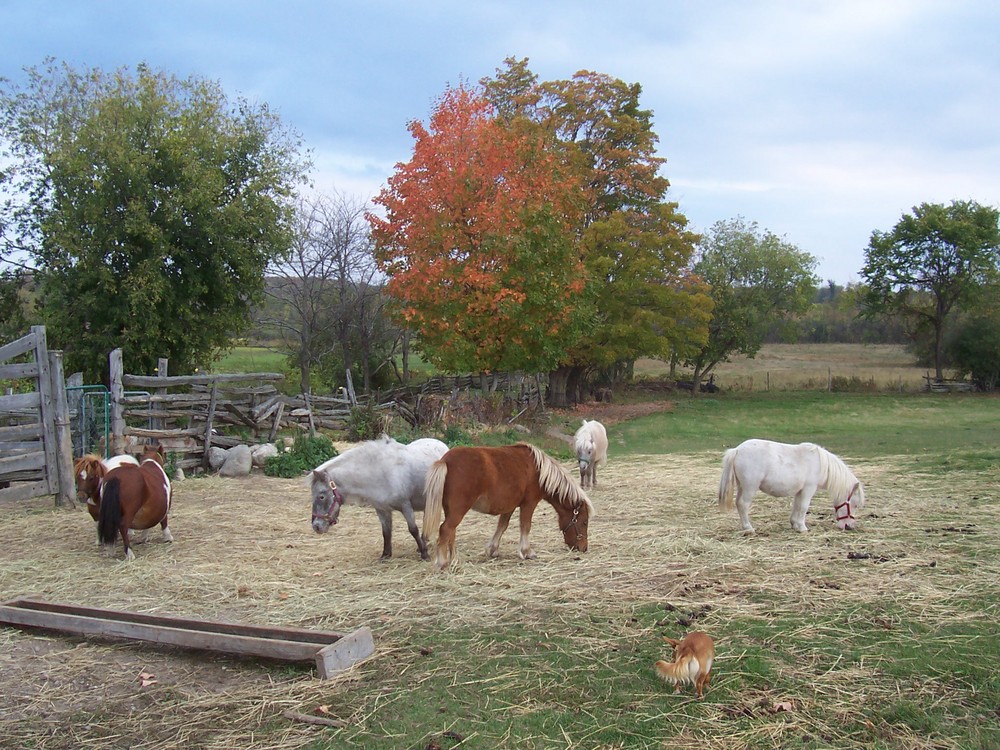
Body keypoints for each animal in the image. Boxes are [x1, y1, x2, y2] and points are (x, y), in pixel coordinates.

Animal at [418, 446, 588, 568]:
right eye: (584, 522)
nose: (583, 548)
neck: (539, 471)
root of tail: (445, 462)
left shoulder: (510, 506)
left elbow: (502, 526)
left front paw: (492, 550)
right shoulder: (529, 503)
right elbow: (525, 526)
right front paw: (526, 552)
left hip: (451, 510)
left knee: (450, 532)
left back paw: (454, 559)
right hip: (458, 511)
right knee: (445, 529)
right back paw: (442, 562)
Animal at [720, 438, 868, 536]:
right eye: (855, 505)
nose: (848, 526)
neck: (821, 464)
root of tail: (737, 450)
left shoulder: (800, 491)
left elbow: (796, 506)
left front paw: (794, 524)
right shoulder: (808, 489)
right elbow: (803, 507)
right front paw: (803, 527)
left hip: (742, 486)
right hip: (750, 487)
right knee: (743, 504)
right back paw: (748, 528)